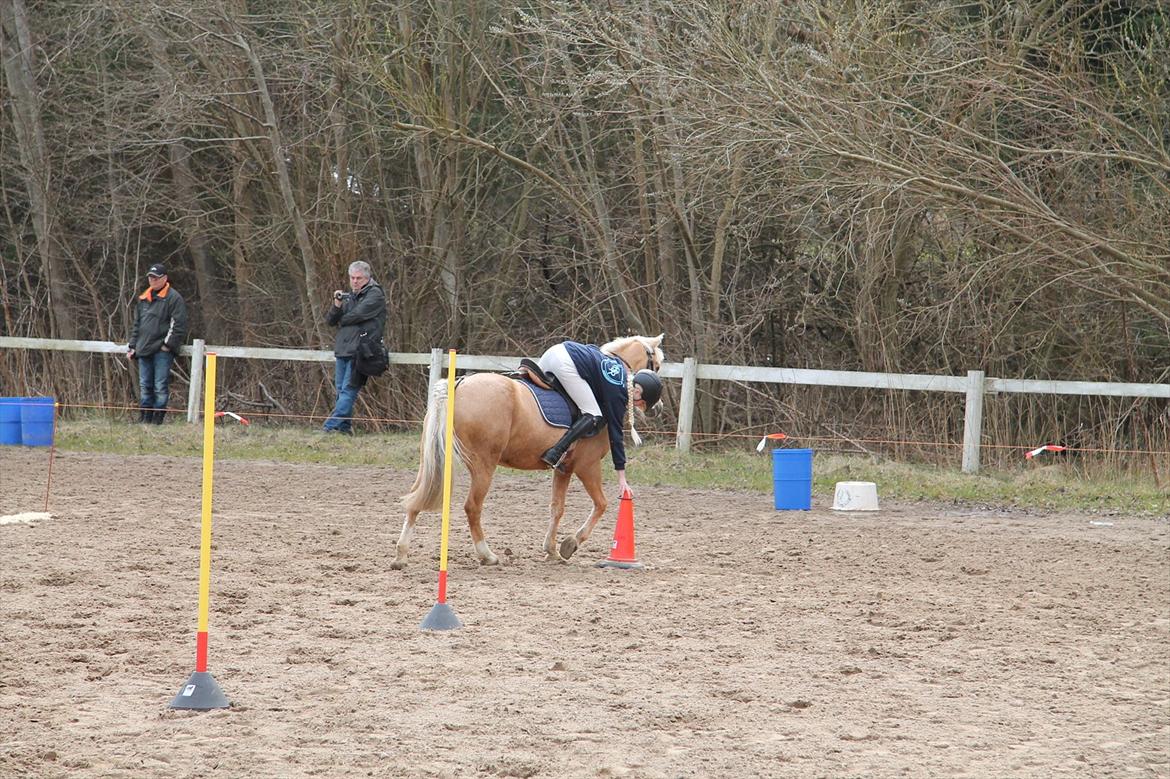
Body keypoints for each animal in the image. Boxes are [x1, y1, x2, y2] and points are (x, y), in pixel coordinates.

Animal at [391, 334, 665, 569]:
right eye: (657, 365)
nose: (659, 407)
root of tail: (458, 385)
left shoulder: (564, 468)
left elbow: (557, 508)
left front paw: (552, 550)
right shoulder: (587, 466)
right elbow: (602, 504)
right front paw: (570, 544)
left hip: (436, 461)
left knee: (416, 499)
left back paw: (401, 555)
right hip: (483, 465)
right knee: (472, 507)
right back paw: (487, 555)